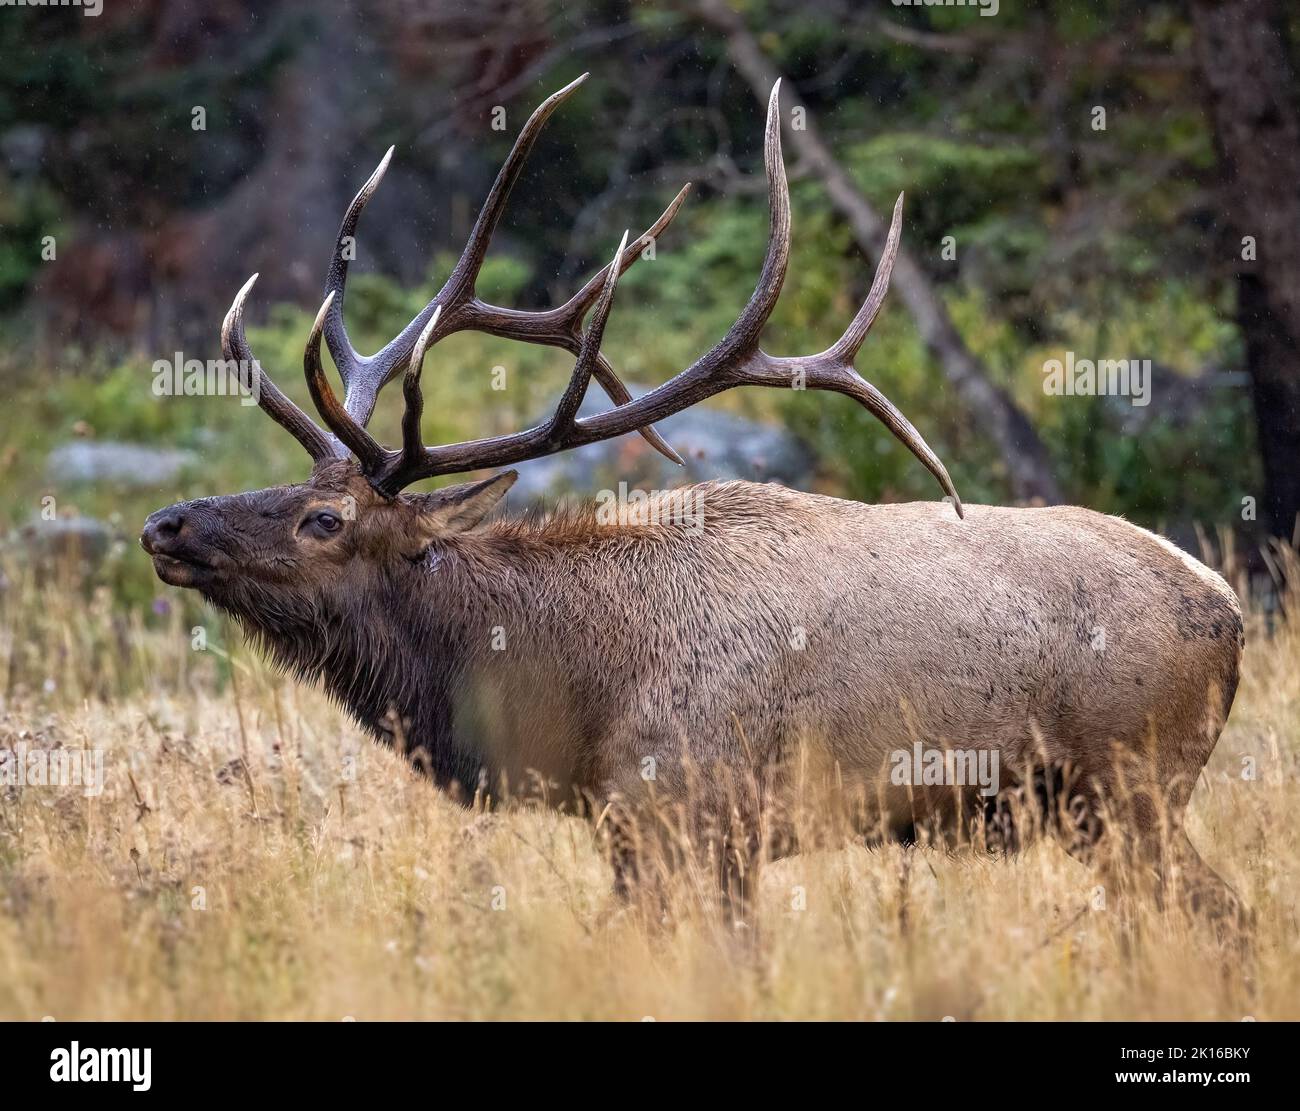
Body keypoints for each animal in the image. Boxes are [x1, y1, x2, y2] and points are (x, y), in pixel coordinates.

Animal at [142, 73, 1248, 935]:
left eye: (323, 521)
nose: (167, 523)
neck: (575, 690)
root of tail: (1230, 609)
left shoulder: (692, 809)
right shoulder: (644, 830)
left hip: (1132, 784)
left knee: (1219, 913)